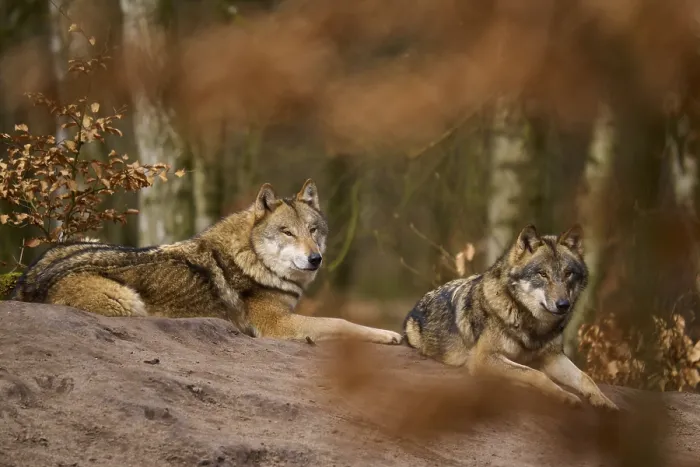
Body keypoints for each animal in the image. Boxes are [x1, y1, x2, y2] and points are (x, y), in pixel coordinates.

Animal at [11, 179, 402, 345]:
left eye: (312, 229)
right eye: (287, 232)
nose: (315, 258)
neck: (253, 259)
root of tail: (29, 282)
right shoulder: (277, 325)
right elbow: (340, 322)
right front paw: (388, 334)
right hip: (127, 303)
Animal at [403, 224, 618, 410]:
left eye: (568, 274)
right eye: (542, 274)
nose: (563, 305)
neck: (533, 325)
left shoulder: (553, 356)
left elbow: (586, 378)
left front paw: (604, 400)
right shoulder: (483, 358)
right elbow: (536, 374)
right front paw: (564, 395)